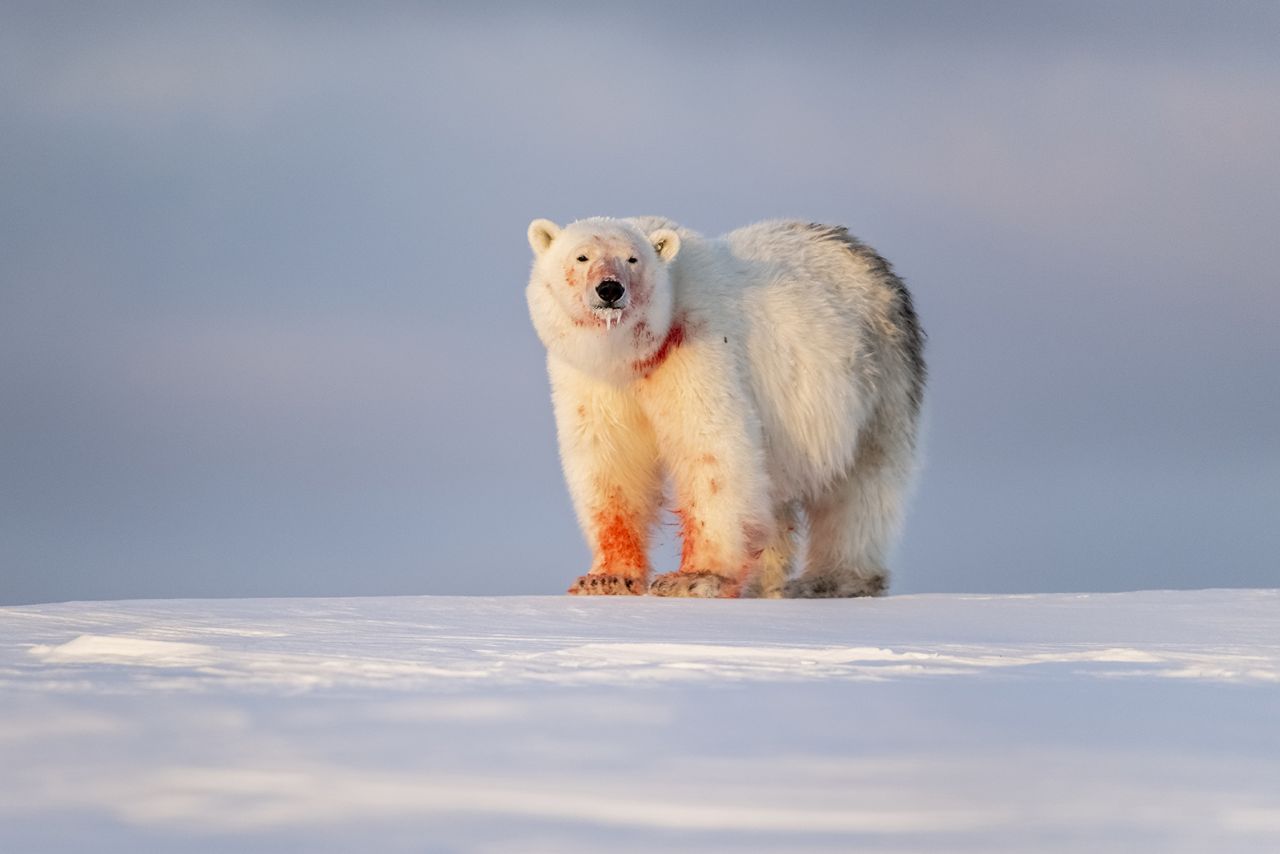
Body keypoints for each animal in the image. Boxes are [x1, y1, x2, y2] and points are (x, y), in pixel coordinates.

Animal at [524, 217, 926, 599]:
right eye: (582, 256)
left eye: (633, 258)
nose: (610, 289)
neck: (634, 356)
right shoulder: (593, 380)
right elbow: (610, 459)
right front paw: (605, 578)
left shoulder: (697, 346)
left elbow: (712, 452)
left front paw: (693, 578)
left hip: (877, 379)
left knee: (860, 487)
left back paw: (832, 579)